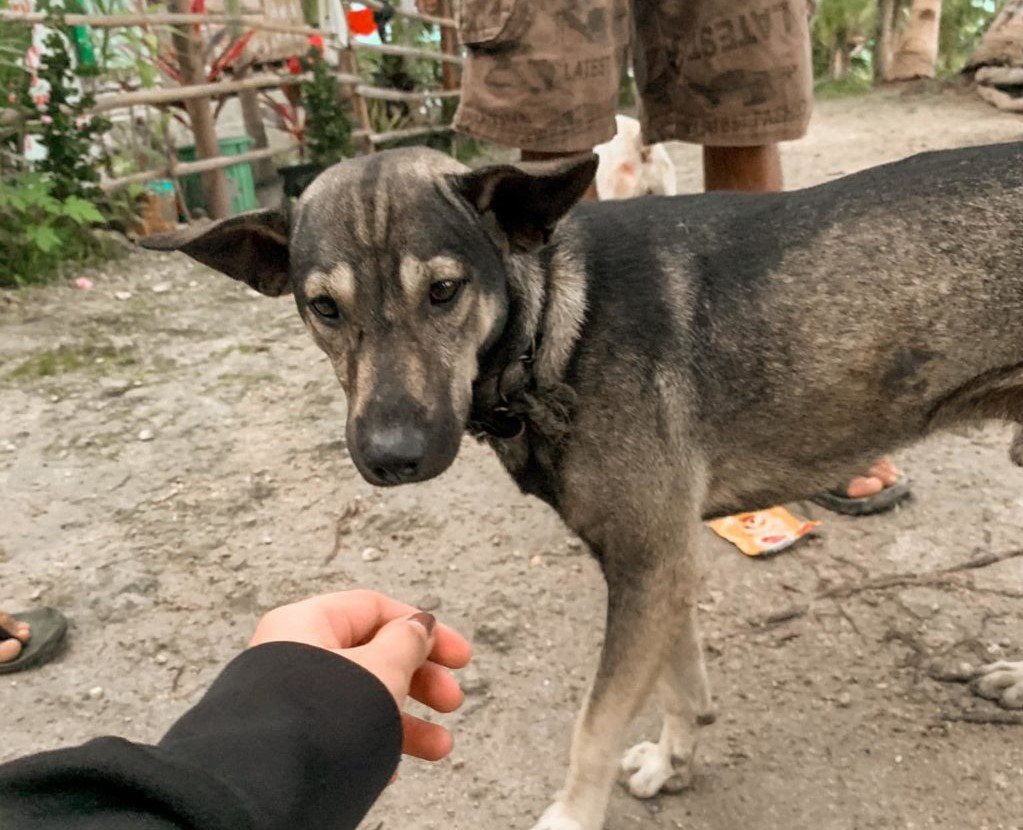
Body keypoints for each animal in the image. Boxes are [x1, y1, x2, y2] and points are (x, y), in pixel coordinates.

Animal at [148, 143, 1023, 830]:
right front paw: (674, 759)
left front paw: (571, 814)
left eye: (443, 290)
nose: (393, 456)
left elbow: (593, 723)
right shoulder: (658, 563)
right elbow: (678, 678)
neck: (549, 329)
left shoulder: (648, 562)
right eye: (323, 307)